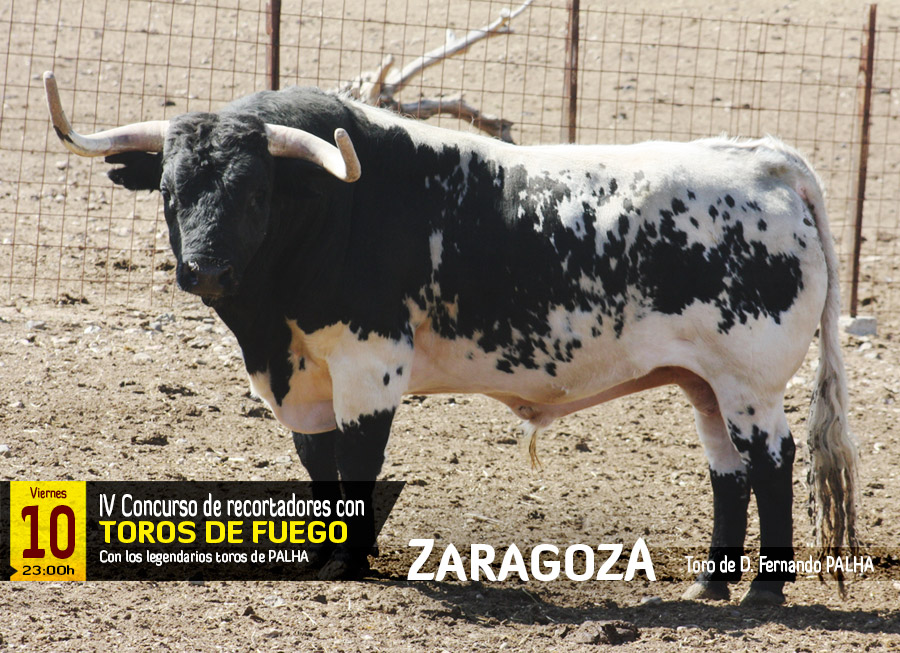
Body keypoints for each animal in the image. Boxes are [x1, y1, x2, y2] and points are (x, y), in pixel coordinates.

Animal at [44, 70, 858, 604]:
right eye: (170, 190)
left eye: (254, 192)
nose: (204, 269)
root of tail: (765, 160)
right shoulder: (304, 383)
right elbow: (320, 468)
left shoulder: (369, 364)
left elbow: (357, 463)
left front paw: (351, 566)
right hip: (706, 384)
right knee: (729, 472)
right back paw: (711, 586)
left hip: (750, 382)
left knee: (771, 463)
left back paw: (763, 595)